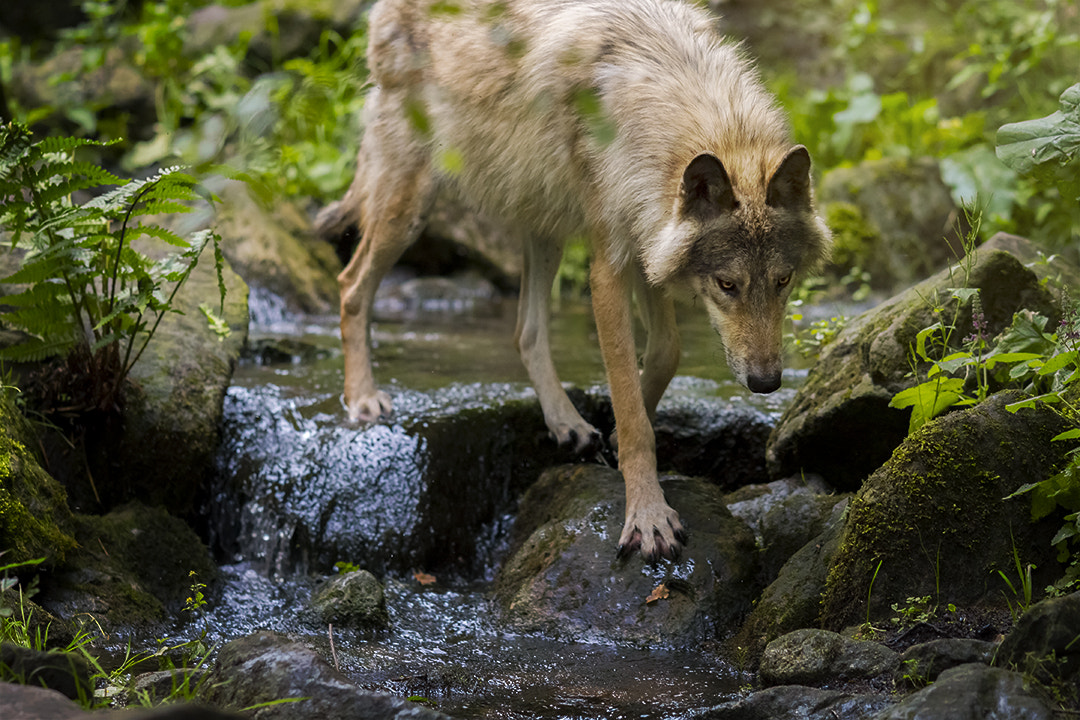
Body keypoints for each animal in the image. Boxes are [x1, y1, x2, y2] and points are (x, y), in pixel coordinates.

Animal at [315, 0, 829, 561]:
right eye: (727, 285)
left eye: (782, 281)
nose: (767, 383)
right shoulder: (610, 266)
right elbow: (633, 411)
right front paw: (647, 516)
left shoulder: (647, 244)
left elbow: (664, 355)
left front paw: (615, 433)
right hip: (412, 206)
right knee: (350, 284)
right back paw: (363, 398)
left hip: (543, 224)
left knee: (526, 331)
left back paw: (566, 423)